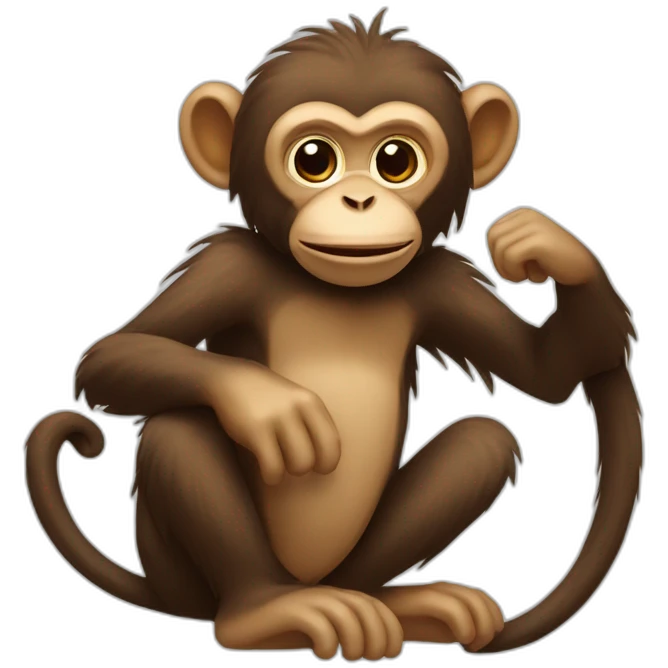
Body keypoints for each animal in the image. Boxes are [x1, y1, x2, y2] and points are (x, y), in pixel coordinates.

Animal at [24, 9, 642, 662]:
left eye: (396, 160)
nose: (360, 199)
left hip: (350, 562)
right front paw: (265, 404)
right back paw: (267, 613)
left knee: (483, 441)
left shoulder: (439, 281)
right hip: (184, 576)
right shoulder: (229, 266)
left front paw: (550, 248)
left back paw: (401, 604)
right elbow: (112, 355)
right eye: (314, 159)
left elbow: (547, 371)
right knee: (178, 428)